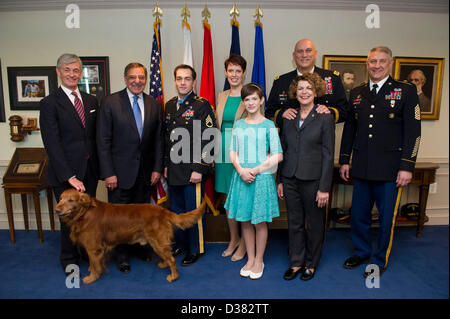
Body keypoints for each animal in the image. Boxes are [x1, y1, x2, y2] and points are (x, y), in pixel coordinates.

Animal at [54, 189, 206, 284]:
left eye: (71, 200)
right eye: (60, 198)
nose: (57, 209)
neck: (84, 213)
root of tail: (162, 210)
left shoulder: (93, 247)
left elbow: (95, 264)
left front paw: (91, 278)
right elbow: (93, 263)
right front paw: (92, 271)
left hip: (157, 240)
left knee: (172, 259)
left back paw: (173, 277)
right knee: (168, 256)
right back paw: (164, 264)